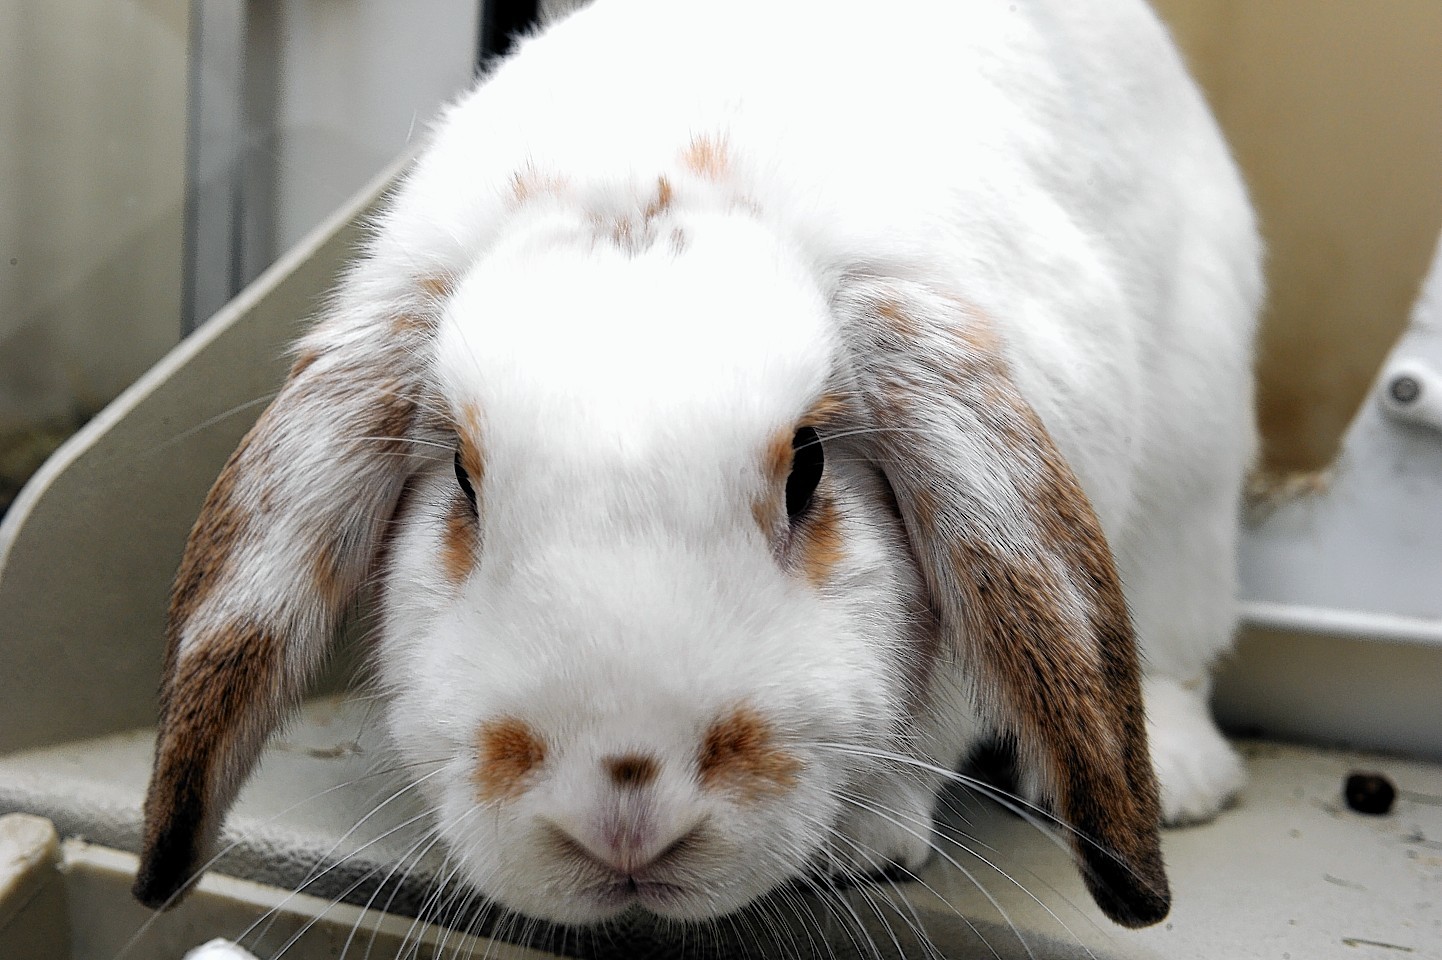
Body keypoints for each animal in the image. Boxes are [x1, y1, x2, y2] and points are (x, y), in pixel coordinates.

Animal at [135, 0, 1263, 928]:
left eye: (808, 469)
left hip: (1192, 481)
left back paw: (1183, 783)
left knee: (1172, 642)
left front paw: (860, 846)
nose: (622, 811)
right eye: (461, 476)